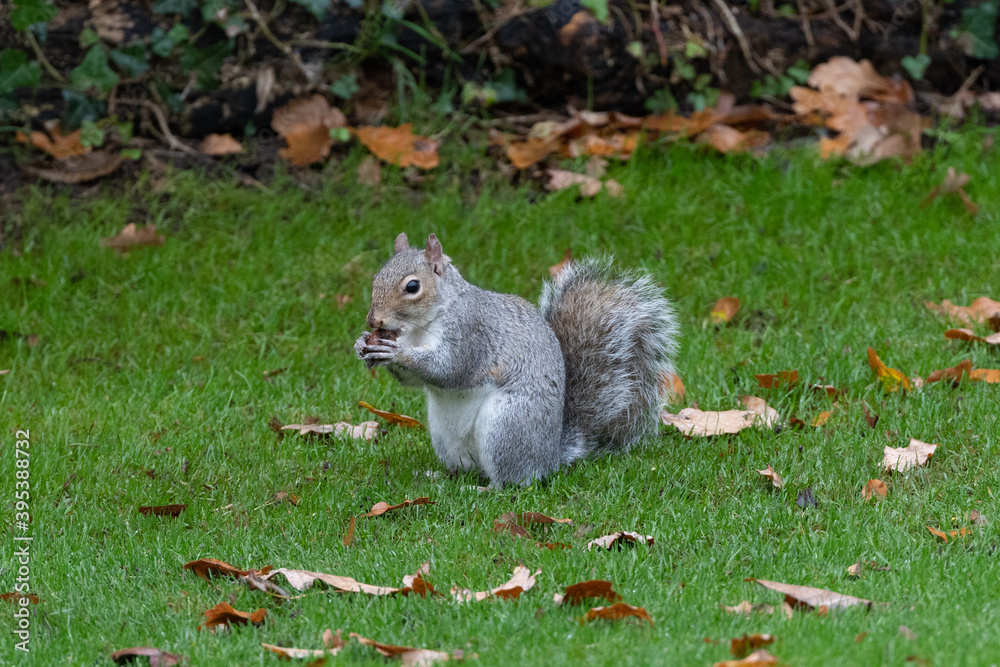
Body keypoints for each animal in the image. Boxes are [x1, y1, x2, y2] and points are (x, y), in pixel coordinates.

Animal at [354, 233, 678, 486]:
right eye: (375, 278)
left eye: (412, 287)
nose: (373, 320)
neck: (423, 325)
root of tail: (550, 457)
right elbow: (411, 380)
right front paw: (363, 344)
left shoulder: (471, 333)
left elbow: (449, 369)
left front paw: (395, 352)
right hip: (446, 435)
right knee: (468, 468)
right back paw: (442, 476)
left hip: (507, 425)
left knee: (510, 481)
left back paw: (482, 489)